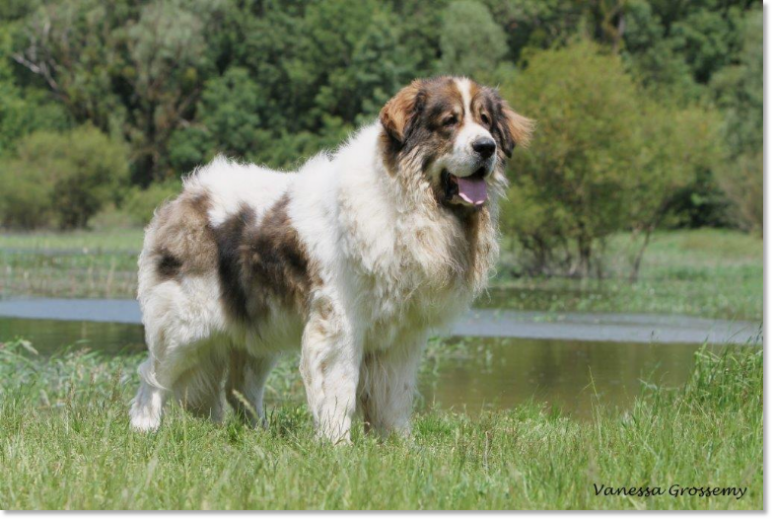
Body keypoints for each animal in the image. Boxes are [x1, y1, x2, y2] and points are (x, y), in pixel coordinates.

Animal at [132, 77, 532, 440]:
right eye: (449, 121)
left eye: (485, 121)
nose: (486, 147)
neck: (405, 202)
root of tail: (186, 194)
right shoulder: (341, 321)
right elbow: (340, 386)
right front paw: (338, 443)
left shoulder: (402, 334)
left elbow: (395, 394)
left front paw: (398, 444)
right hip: (185, 324)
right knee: (153, 375)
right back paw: (144, 427)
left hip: (258, 324)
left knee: (240, 385)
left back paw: (258, 433)